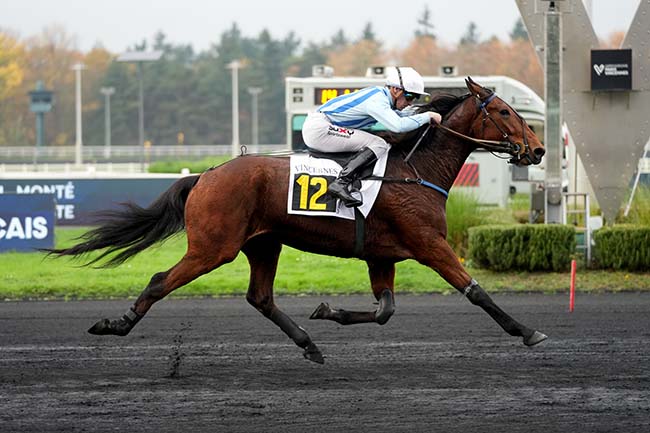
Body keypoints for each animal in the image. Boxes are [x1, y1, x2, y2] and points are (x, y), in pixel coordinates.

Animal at [46, 77, 548, 364]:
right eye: (504, 112)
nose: (539, 150)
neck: (413, 169)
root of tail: (205, 174)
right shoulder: (430, 245)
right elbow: (476, 291)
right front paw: (527, 331)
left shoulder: (382, 255)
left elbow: (384, 311)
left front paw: (329, 310)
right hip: (214, 247)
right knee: (158, 280)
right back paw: (115, 325)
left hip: (263, 243)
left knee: (261, 298)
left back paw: (310, 343)